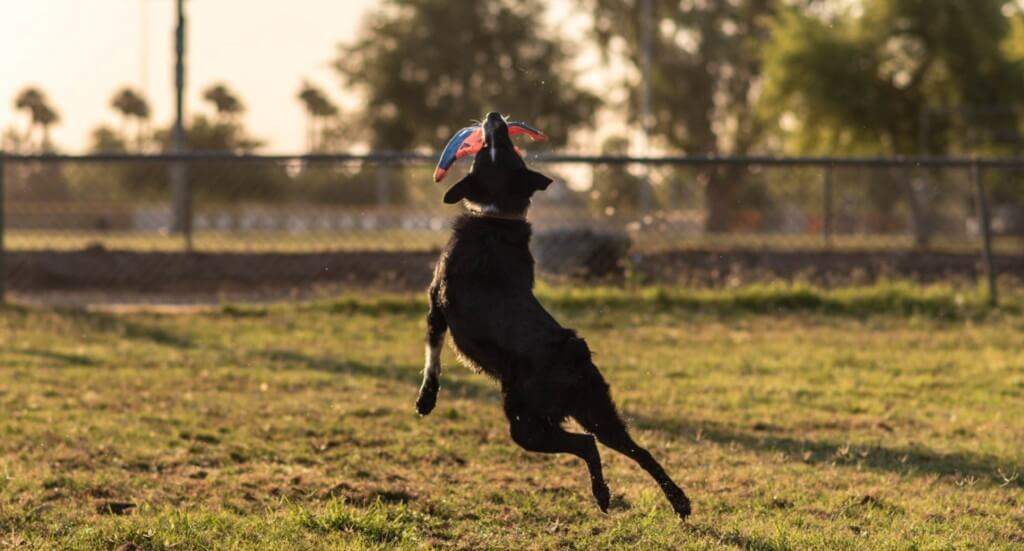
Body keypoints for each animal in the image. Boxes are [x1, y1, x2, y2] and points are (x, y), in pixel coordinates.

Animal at [411, 112, 692, 518]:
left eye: (496, 148)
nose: (494, 117)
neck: (498, 218)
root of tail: (571, 350)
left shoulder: (437, 307)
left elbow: (432, 359)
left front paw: (426, 400)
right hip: (596, 410)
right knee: (635, 449)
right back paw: (676, 500)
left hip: (525, 424)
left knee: (587, 444)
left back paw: (603, 493)